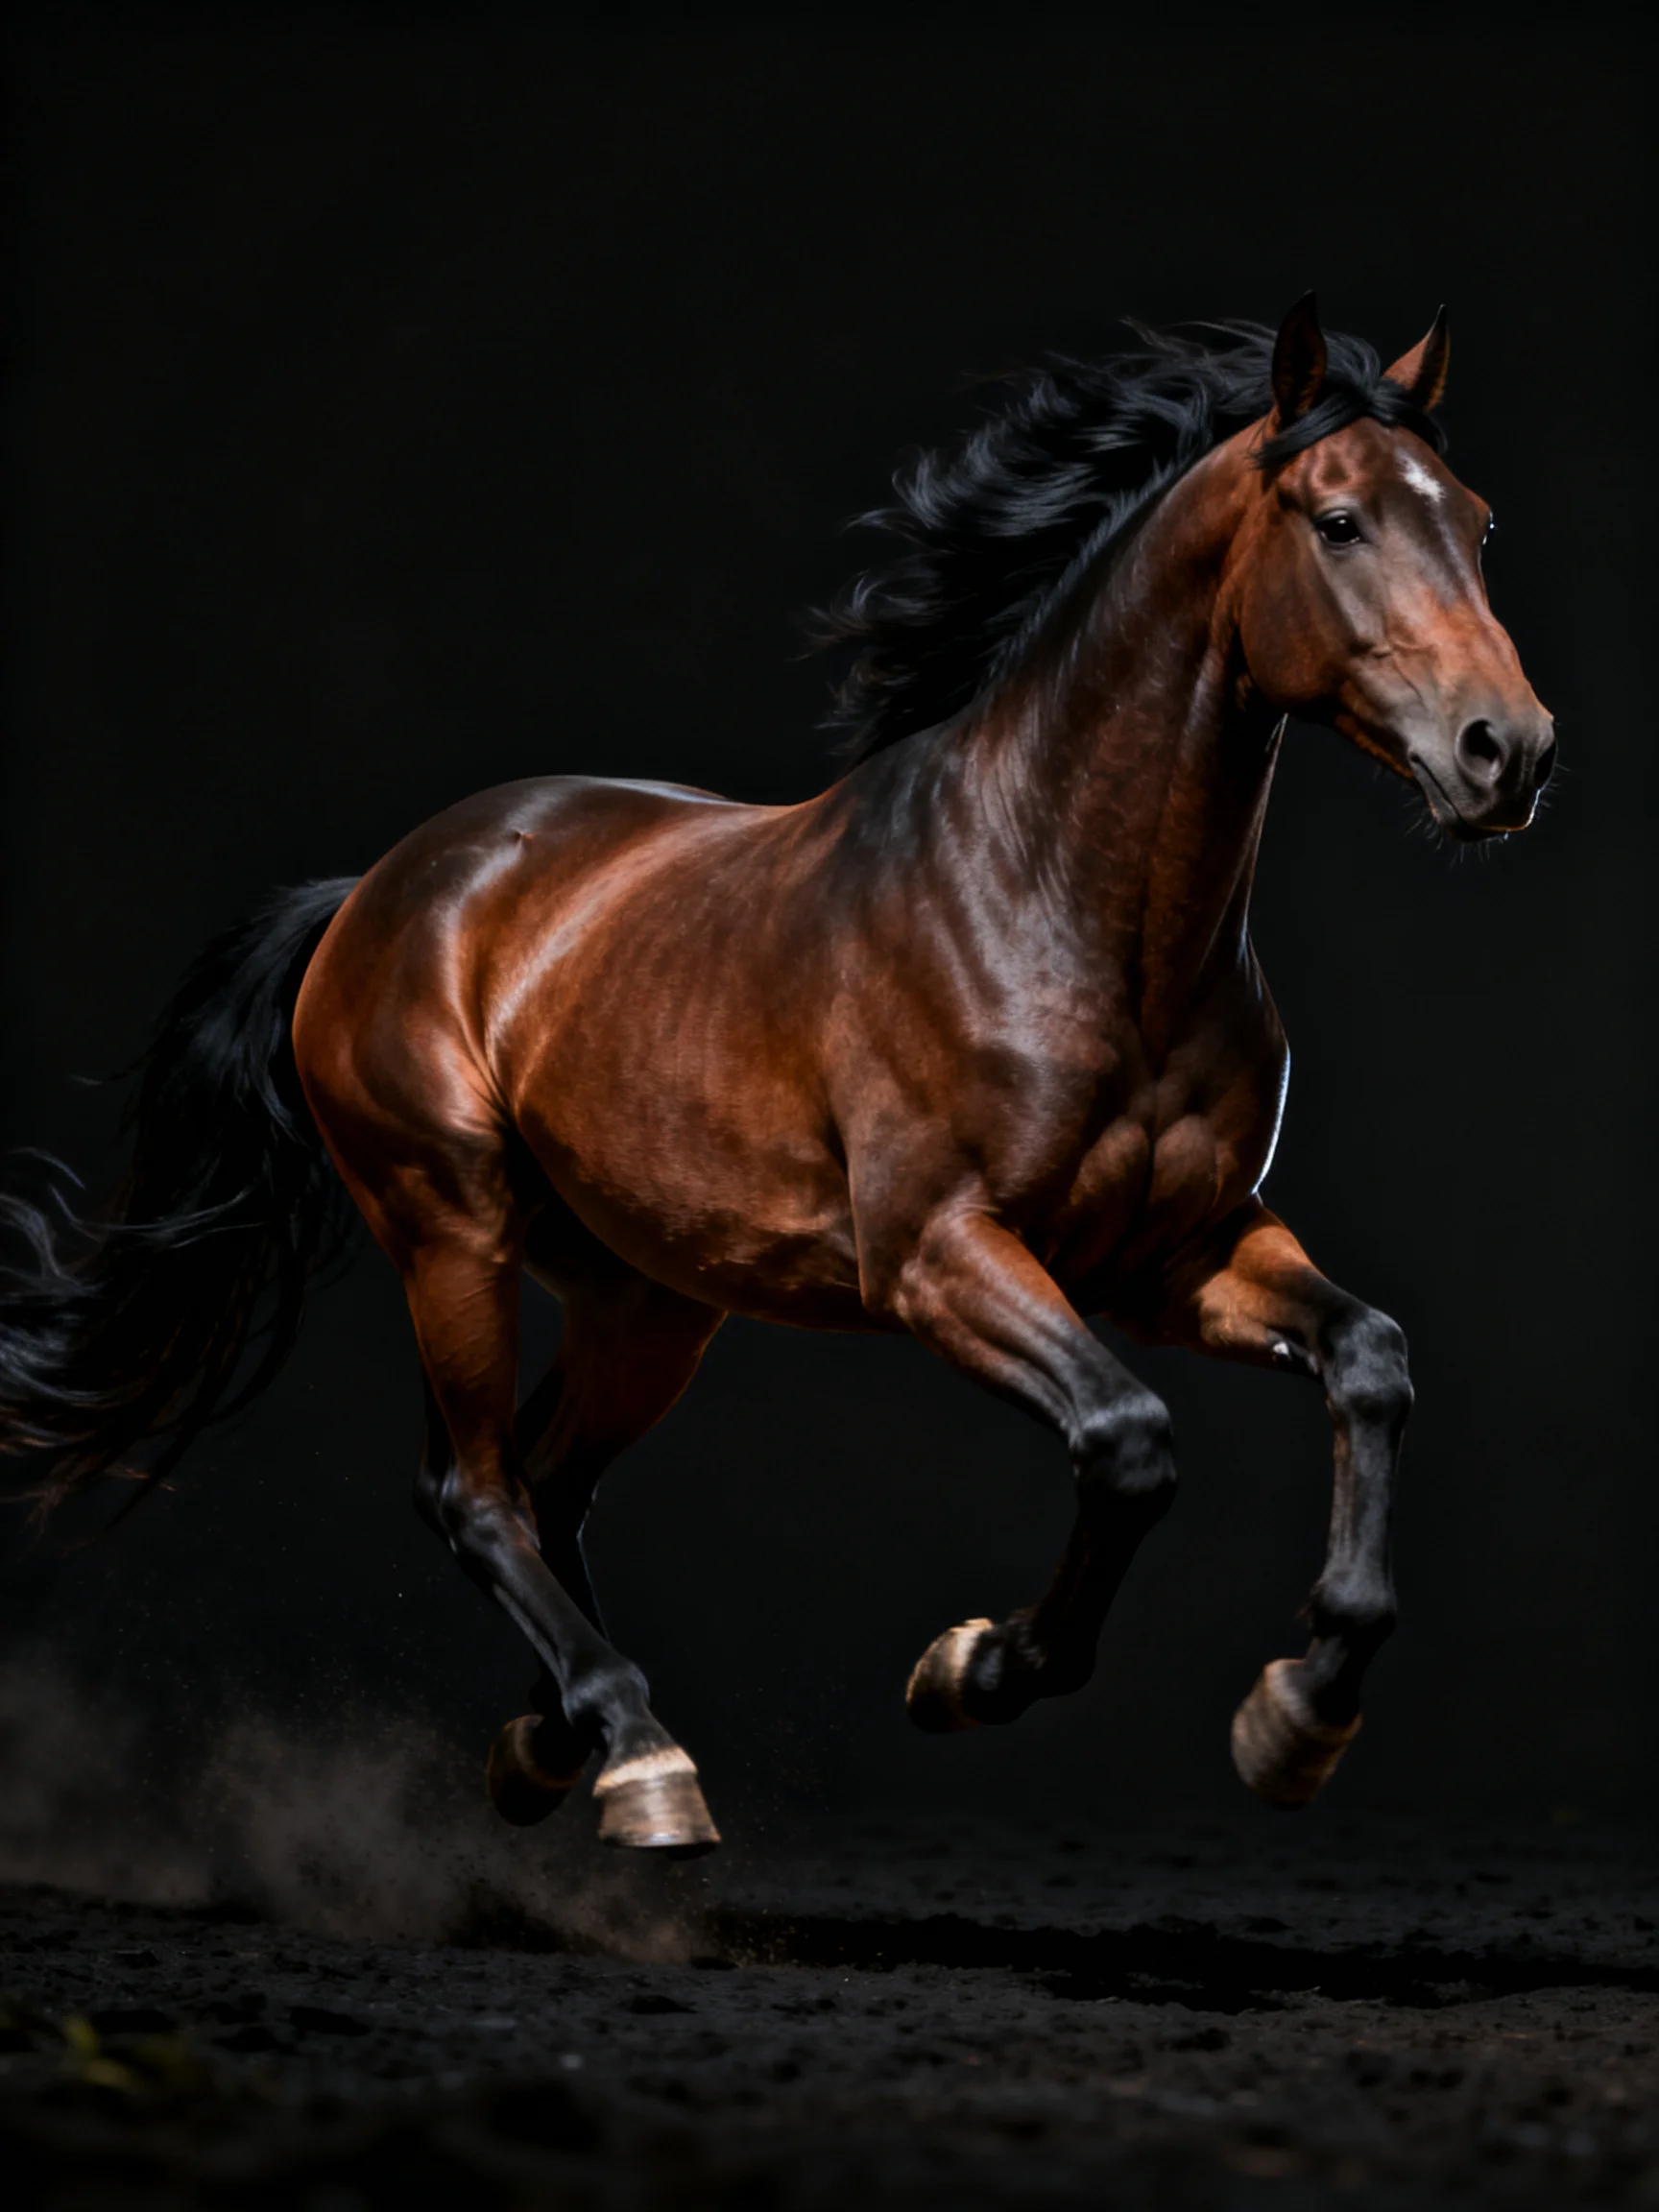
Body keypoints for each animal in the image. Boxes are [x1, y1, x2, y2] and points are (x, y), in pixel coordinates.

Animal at [0, 295, 1553, 1855]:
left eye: (1477, 521)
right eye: (1338, 519)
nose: (1509, 752)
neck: (1061, 908)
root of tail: (378, 891)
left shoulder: (1175, 1256)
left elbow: (1370, 1361)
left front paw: (1302, 1713)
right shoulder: (936, 1256)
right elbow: (1128, 1442)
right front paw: (973, 1669)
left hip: (649, 1298)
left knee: (550, 1486)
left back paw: (555, 1746)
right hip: (450, 1231)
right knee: (477, 1492)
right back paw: (637, 1759)